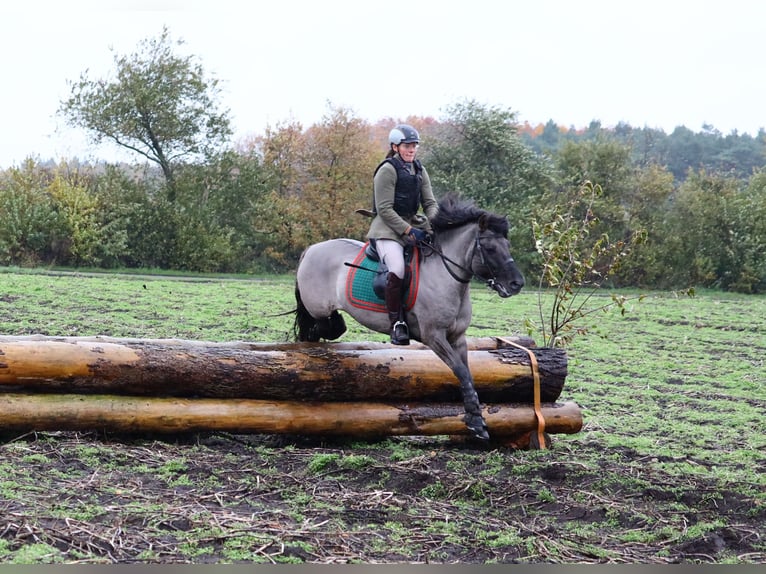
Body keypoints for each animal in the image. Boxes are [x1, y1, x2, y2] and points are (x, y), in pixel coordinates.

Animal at [293, 194, 525, 440]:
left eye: (507, 246)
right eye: (489, 248)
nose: (517, 284)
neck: (446, 276)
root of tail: (312, 248)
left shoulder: (458, 338)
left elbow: (468, 375)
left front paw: (475, 419)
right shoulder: (434, 337)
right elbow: (460, 371)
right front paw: (476, 423)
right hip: (317, 307)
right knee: (321, 327)